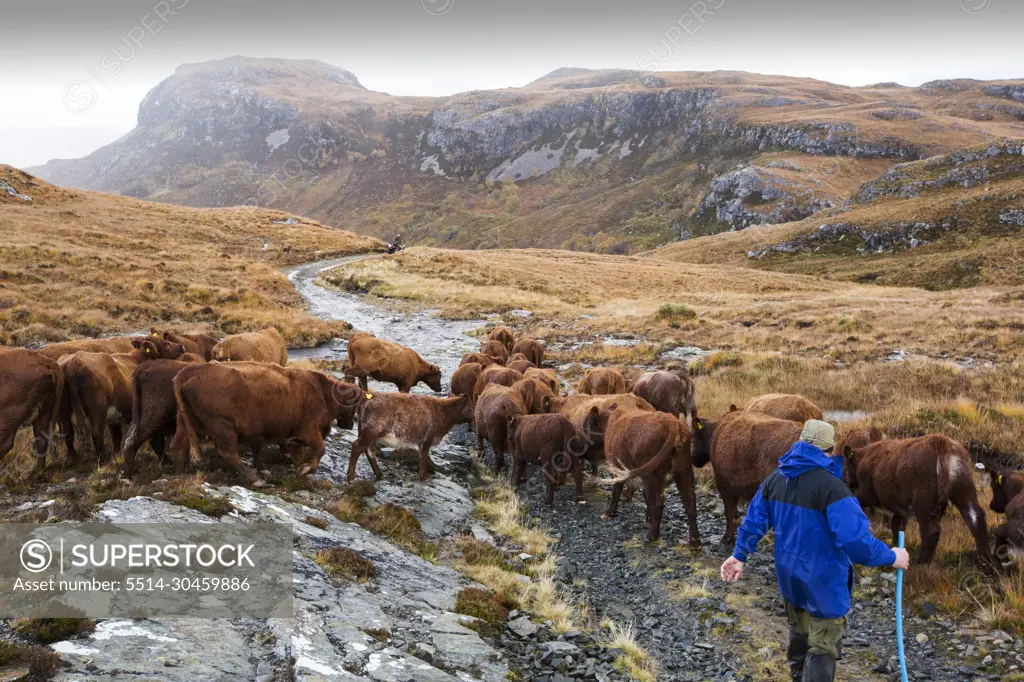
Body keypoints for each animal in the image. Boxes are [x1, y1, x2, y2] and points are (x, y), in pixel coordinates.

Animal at [173, 360, 368, 483]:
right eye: (357, 404)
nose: (350, 425)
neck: (322, 392)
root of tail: (191, 371)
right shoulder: (308, 430)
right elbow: (321, 449)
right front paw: (305, 469)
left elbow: (261, 449)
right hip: (223, 427)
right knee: (228, 453)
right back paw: (254, 479)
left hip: (186, 423)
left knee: (179, 447)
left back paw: (180, 474)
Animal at [602, 405, 700, 544]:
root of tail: (673, 425)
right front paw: (648, 517)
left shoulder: (616, 467)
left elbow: (616, 491)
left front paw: (609, 512)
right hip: (683, 471)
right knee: (690, 502)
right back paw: (694, 539)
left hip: (651, 475)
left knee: (658, 504)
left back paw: (651, 535)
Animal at [692, 409, 802, 548]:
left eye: (692, 437)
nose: (693, 459)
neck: (716, 432)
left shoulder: (724, 484)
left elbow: (729, 513)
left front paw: (728, 538)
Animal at [843, 436, 987, 561]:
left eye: (845, 466)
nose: (848, 483)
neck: (863, 458)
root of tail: (941, 444)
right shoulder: (900, 508)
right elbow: (897, 526)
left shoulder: (866, 493)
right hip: (963, 487)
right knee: (976, 518)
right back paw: (984, 561)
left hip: (924, 501)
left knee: (930, 530)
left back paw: (921, 560)